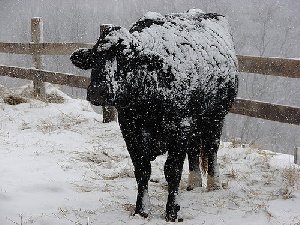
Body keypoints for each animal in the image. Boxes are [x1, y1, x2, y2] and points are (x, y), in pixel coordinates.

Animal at [71, 9, 239, 221]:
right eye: (94, 57)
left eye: (126, 58)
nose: (97, 91)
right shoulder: (130, 129)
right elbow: (142, 170)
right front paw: (142, 209)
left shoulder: (179, 129)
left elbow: (172, 170)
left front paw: (172, 211)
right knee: (194, 149)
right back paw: (194, 183)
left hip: (216, 115)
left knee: (211, 147)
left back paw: (214, 183)